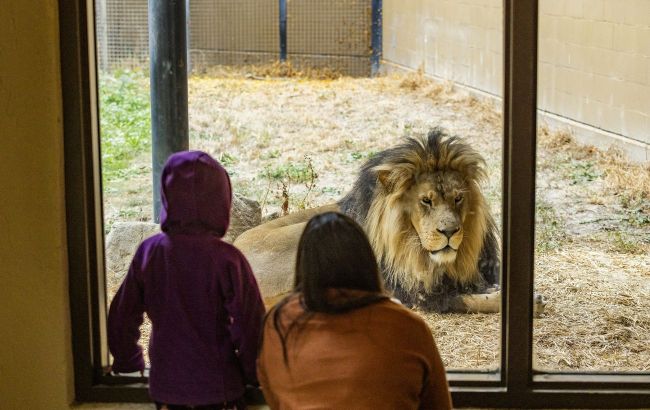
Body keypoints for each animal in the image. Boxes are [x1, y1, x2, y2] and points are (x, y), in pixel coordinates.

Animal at [235, 129, 544, 314]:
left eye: (458, 198)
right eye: (426, 201)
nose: (449, 231)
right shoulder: (419, 294)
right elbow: (465, 300)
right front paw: (527, 302)